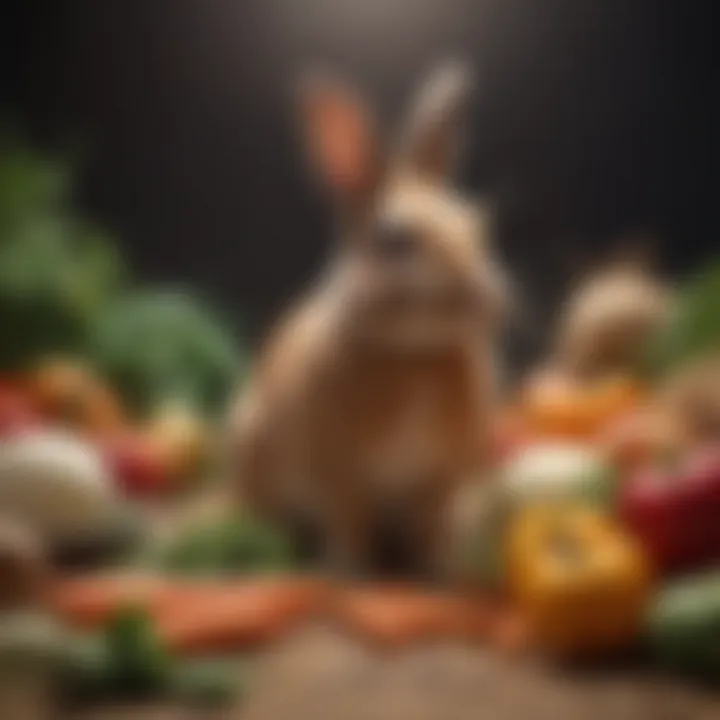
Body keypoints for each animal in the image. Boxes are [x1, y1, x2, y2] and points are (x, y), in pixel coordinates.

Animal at [228, 62, 510, 580]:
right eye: (395, 239)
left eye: (474, 223)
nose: (481, 298)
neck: (415, 353)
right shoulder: (339, 472)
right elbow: (350, 518)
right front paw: (351, 569)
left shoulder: (441, 479)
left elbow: (431, 522)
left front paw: (433, 568)